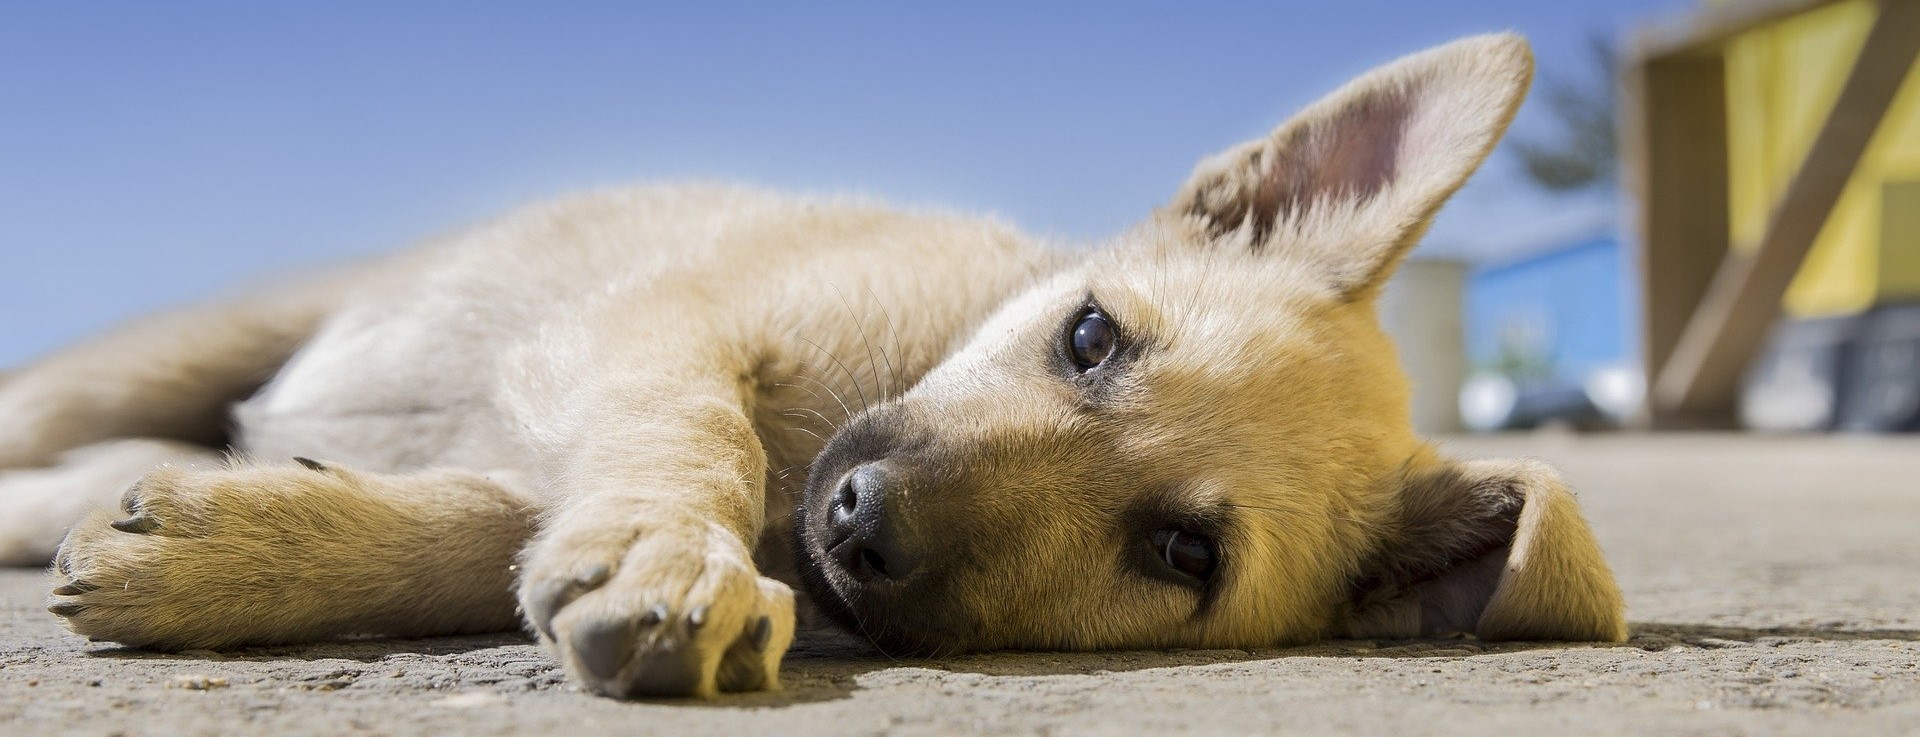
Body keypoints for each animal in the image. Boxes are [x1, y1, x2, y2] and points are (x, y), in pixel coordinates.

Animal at [0, 34, 1620, 698]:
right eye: (1092, 335)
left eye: (1181, 553)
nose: (860, 523)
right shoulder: (656, 325)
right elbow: (690, 435)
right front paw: (674, 555)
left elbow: (487, 527)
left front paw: (239, 548)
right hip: (164, 351)